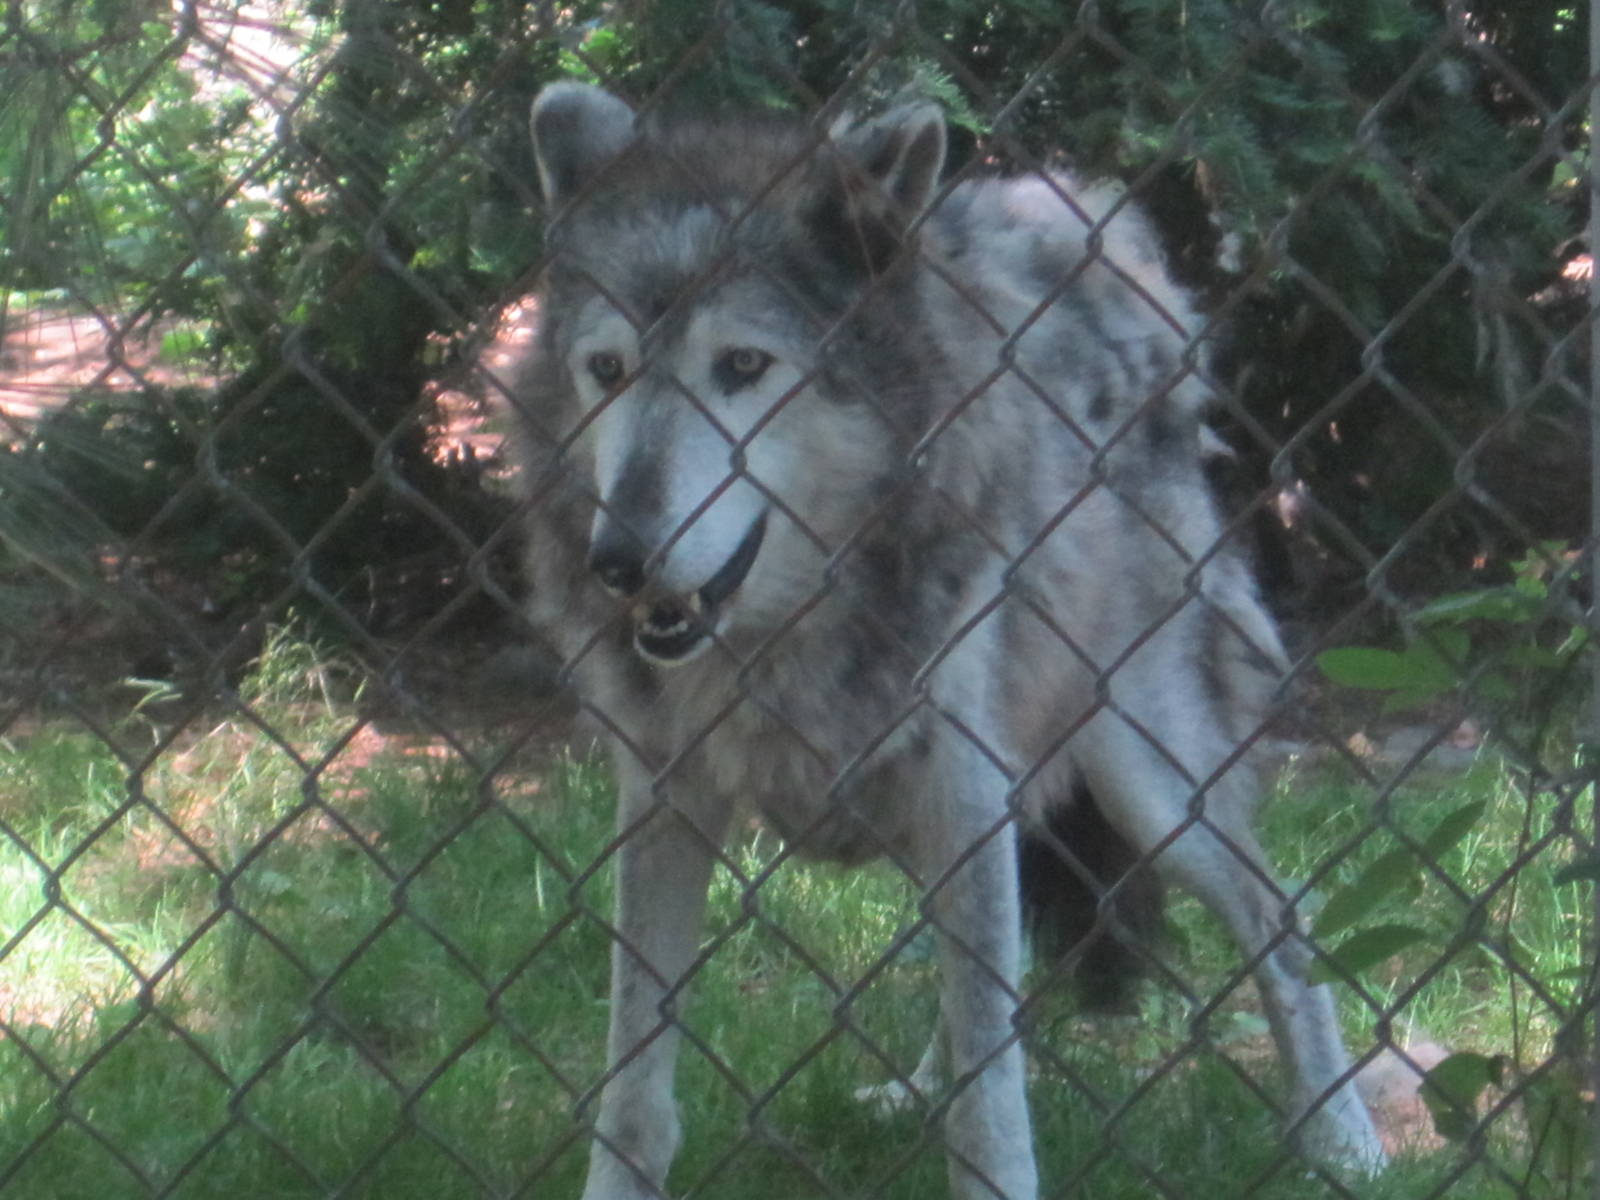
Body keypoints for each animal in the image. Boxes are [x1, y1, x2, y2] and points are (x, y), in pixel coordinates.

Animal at [510, 81, 1386, 1200]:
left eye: (743, 366)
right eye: (607, 370)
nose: (617, 557)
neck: (781, 639)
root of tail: (1104, 231)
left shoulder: (965, 785)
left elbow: (993, 1096)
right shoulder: (665, 802)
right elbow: (633, 1080)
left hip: (1150, 790)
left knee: (1277, 921)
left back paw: (1344, 1140)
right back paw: (913, 1089)